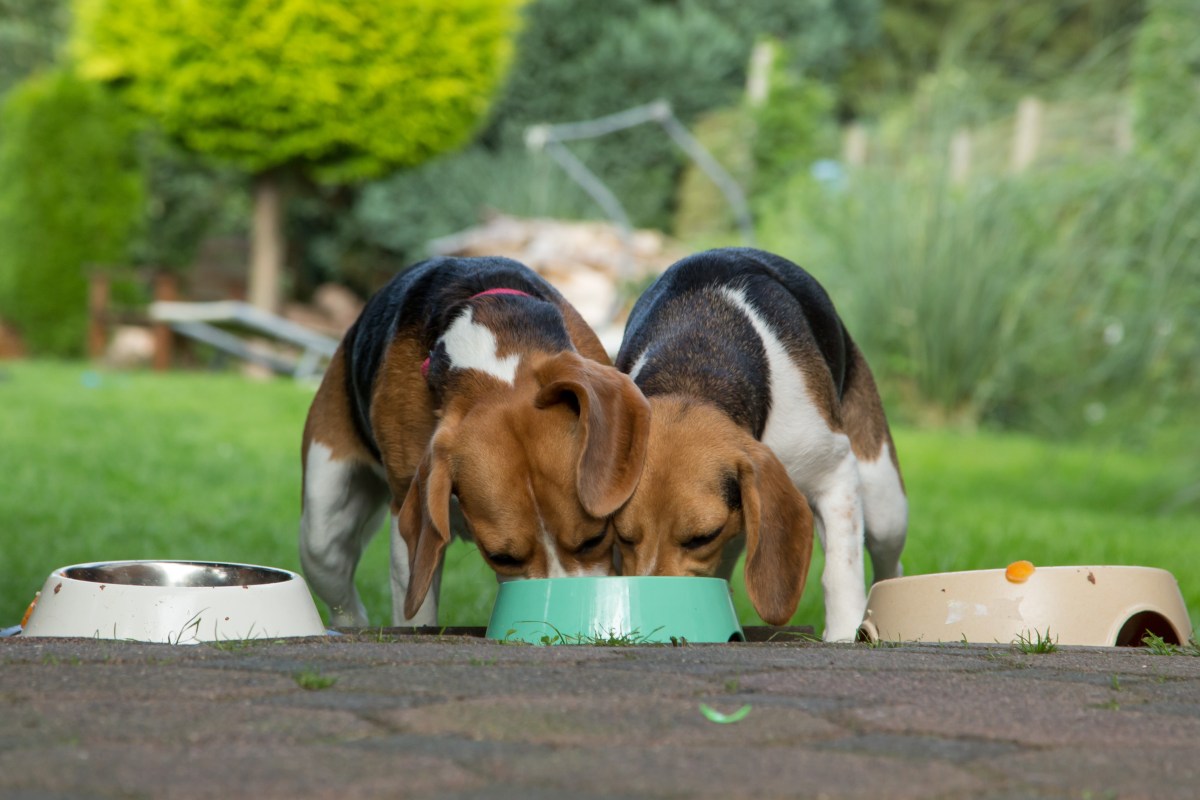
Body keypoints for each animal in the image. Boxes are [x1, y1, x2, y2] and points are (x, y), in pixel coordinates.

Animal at [304, 256, 652, 623]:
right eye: (501, 558)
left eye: (595, 539)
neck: (492, 357)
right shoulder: (407, 521)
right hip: (321, 533)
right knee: (341, 593)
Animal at [614, 247, 902, 642]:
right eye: (623, 537)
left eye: (702, 537)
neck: (693, 370)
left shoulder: (834, 472)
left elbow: (840, 568)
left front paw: (844, 631)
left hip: (884, 504)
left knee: (887, 563)